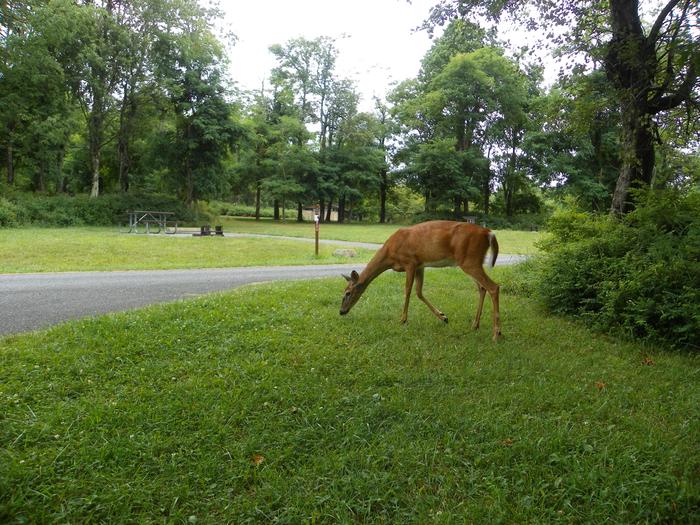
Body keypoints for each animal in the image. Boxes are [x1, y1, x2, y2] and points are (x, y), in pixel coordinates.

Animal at [340, 220, 500, 340]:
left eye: (347, 293)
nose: (341, 311)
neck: (390, 254)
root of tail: (489, 233)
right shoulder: (420, 266)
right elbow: (419, 292)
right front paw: (443, 317)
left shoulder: (410, 262)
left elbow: (408, 291)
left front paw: (403, 320)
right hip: (472, 261)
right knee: (482, 288)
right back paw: (475, 325)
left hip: (469, 260)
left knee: (493, 287)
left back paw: (496, 333)